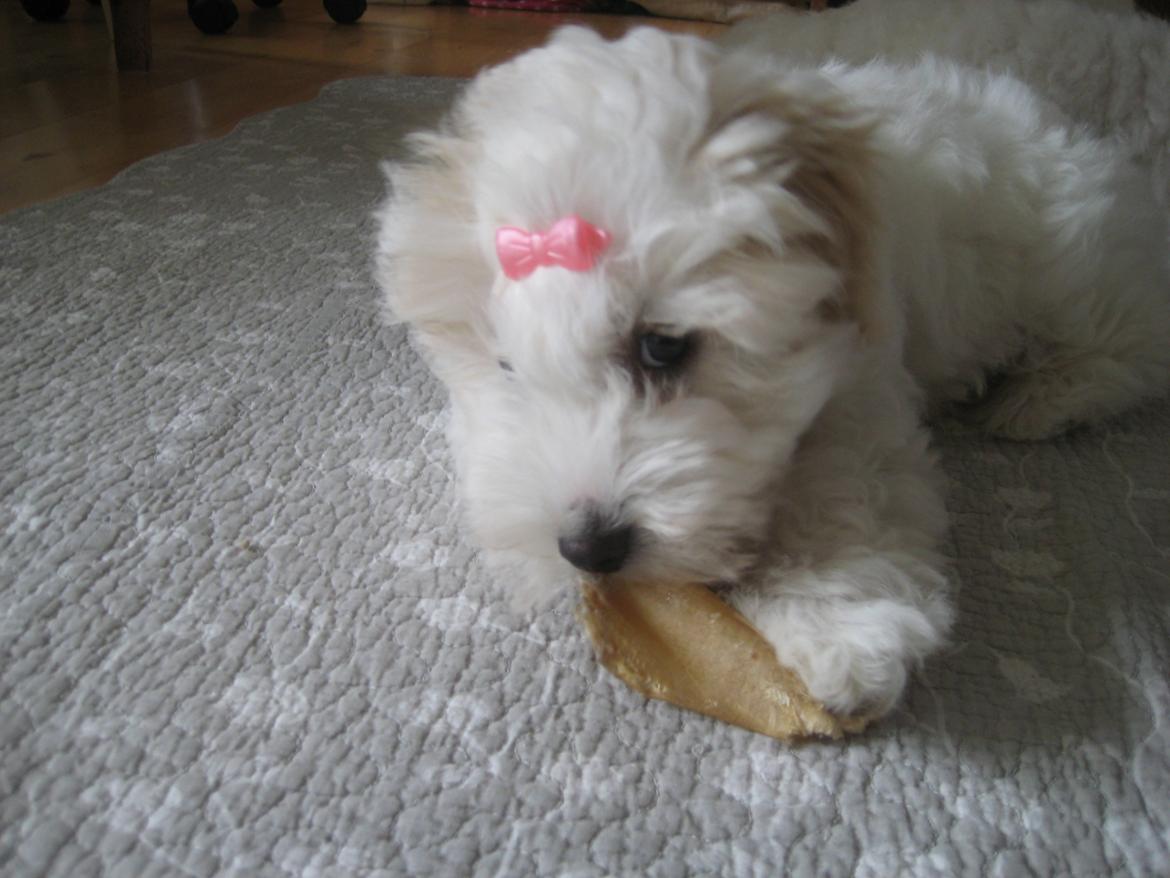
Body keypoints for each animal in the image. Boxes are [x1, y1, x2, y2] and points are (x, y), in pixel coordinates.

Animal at [374, 27, 1170, 716]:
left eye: (663, 347)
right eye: (505, 364)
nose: (587, 547)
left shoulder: (858, 382)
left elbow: (841, 491)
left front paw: (840, 630)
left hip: (1067, 263)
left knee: (1133, 335)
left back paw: (1044, 398)